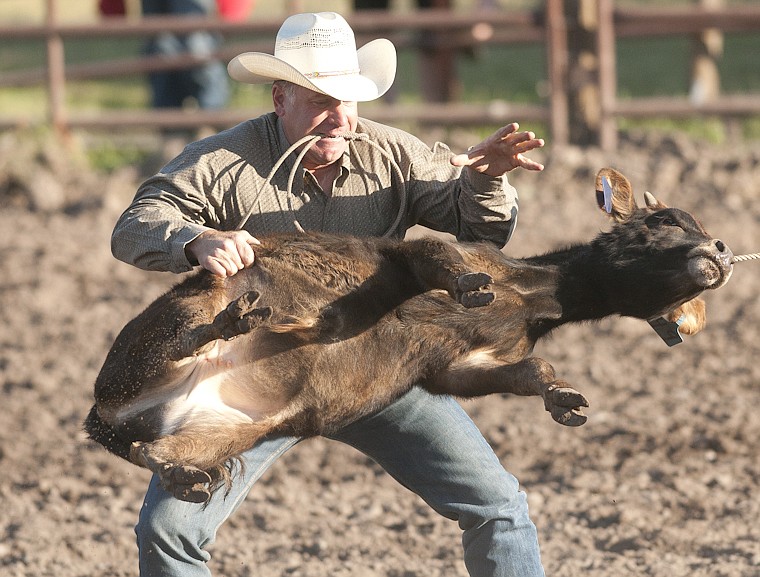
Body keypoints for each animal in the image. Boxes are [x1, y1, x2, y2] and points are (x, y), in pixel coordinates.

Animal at [86, 166, 732, 500]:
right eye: (667, 219)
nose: (722, 249)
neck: (529, 297)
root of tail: (100, 421)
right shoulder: (418, 257)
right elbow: (436, 260)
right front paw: (467, 287)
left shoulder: (464, 367)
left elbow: (528, 373)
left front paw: (563, 398)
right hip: (164, 330)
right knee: (184, 341)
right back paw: (233, 320)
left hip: (221, 432)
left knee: (151, 451)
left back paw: (184, 475)